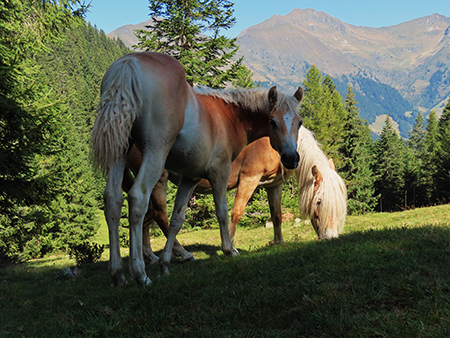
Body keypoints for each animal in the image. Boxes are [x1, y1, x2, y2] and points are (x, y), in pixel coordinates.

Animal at [90, 52, 302, 286]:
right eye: (273, 122)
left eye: (299, 122)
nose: (291, 158)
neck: (230, 116)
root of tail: (129, 63)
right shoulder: (220, 172)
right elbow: (223, 211)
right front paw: (229, 249)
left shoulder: (189, 178)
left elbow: (177, 219)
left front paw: (165, 264)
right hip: (156, 156)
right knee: (139, 199)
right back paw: (140, 272)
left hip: (119, 154)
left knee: (113, 201)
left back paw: (118, 273)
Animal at [126, 125, 348, 262]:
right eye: (319, 202)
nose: (332, 238)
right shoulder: (249, 178)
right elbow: (236, 213)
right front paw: (230, 248)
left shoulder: (274, 185)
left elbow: (276, 216)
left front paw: (278, 242)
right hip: (158, 179)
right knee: (159, 215)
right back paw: (182, 253)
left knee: (146, 217)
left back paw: (149, 257)